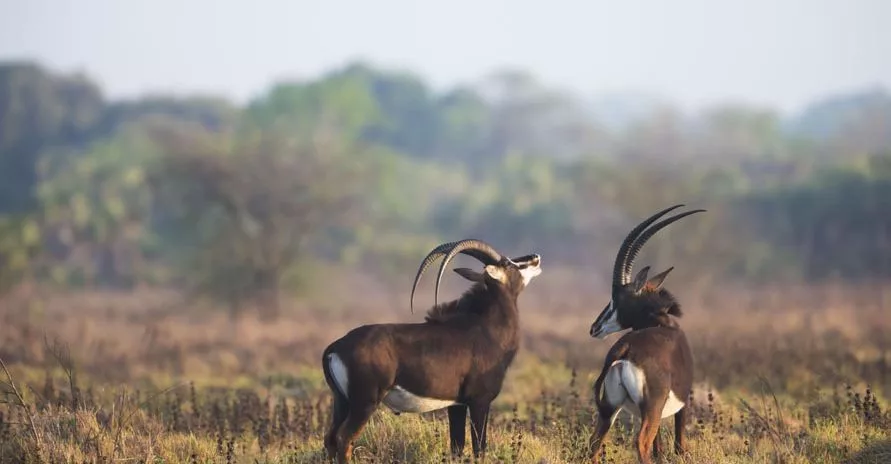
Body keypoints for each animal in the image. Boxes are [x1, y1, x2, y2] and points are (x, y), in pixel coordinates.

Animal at [322, 241, 544, 462]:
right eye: (508, 263)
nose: (535, 257)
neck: (486, 327)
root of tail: (336, 346)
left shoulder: (457, 405)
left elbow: (457, 446)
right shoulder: (479, 400)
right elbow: (479, 448)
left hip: (342, 402)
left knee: (331, 438)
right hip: (364, 402)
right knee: (344, 438)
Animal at [588, 205, 708, 464]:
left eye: (616, 298)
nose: (594, 328)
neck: (662, 323)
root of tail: (624, 349)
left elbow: (659, 447)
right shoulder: (682, 403)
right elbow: (678, 445)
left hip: (611, 408)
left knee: (594, 442)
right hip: (650, 407)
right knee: (641, 442)